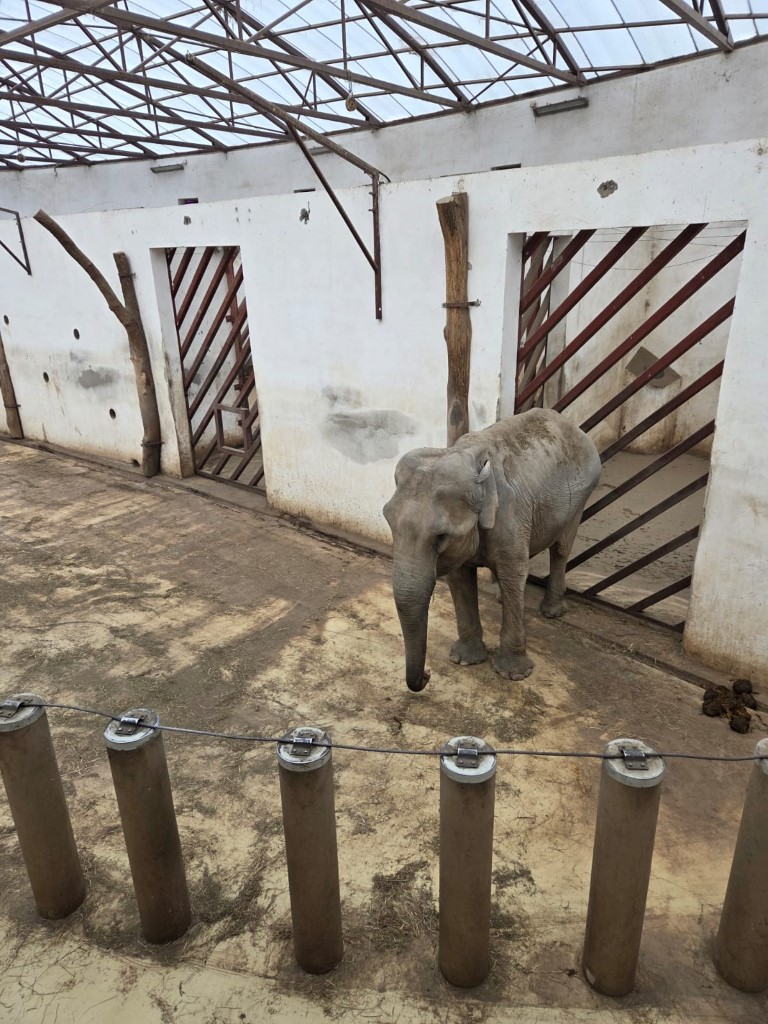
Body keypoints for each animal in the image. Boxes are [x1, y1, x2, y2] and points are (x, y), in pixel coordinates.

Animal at [383, 408, 601, 692]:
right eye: (388, 521)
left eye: (441, 536)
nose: (429, 674)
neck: (463, 454)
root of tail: (575, 427)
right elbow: (459, 578)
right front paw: (464, 660)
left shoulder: (511, 514)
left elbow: (513, 572)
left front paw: (514, 674)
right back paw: (500, 597)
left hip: (582, 495)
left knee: (561, 549)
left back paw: (551, 611)